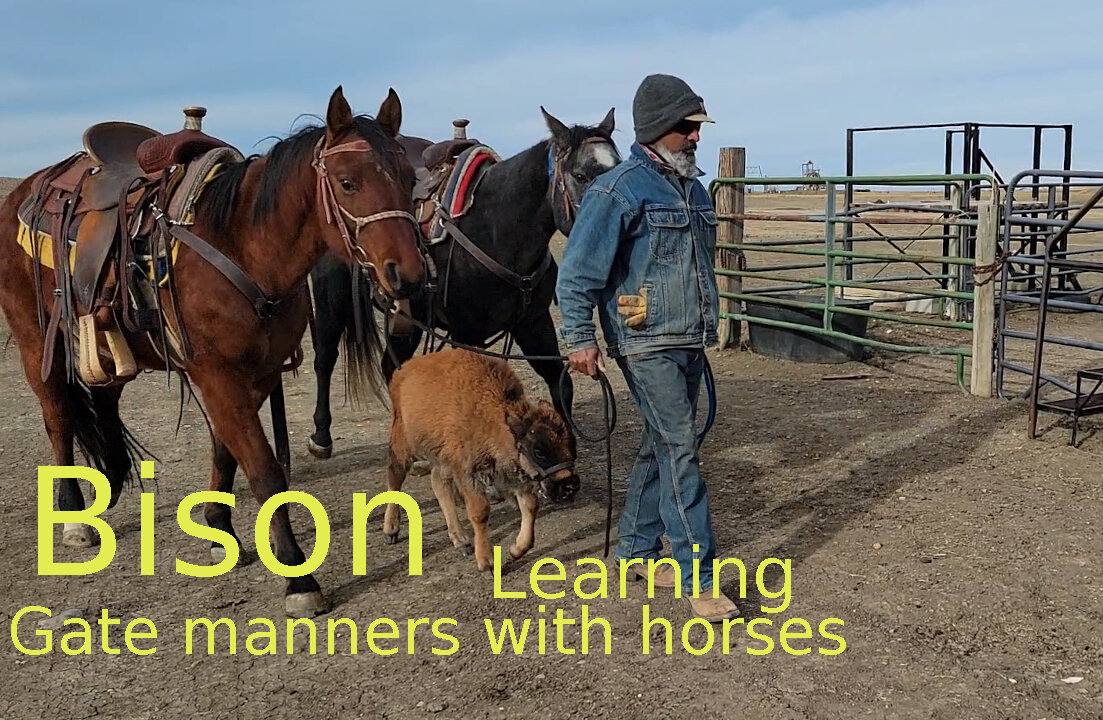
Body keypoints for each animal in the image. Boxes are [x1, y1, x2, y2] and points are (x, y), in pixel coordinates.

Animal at [0, 82, 425, 613]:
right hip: (38, 341)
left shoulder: (257, 374)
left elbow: (226, 451)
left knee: (102, 401)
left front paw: (219, 531)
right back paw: (75, 518)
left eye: (410, 177)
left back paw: (109, 481)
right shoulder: (218, 375)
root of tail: (24, 191)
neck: (243, 245)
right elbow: (264, 470)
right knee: (58, 417)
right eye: (348, 182)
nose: (407, 275)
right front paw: (298, 577)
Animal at [306, 103, 626, 474]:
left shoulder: (533, 323)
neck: (495, 227)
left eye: (619, 168)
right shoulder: (466, 333)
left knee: (391, 366)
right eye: (581, 175)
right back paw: (321, 437)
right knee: (325, 358)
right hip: (332, 300)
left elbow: (560, 383)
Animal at [381, 346, 577, 568]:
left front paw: (516, 550)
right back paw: (391, 530)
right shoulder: (468, 474)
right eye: (539, 451)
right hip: (403, 444)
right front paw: (487, 562)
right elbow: (480, 512)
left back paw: (461, 540)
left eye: (572, 445)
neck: (491, 417)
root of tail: (403, 370)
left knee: (439, 485)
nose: (569, 486)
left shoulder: (514, 476)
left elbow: (530, 506)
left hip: (442, 457)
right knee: (395, 477)